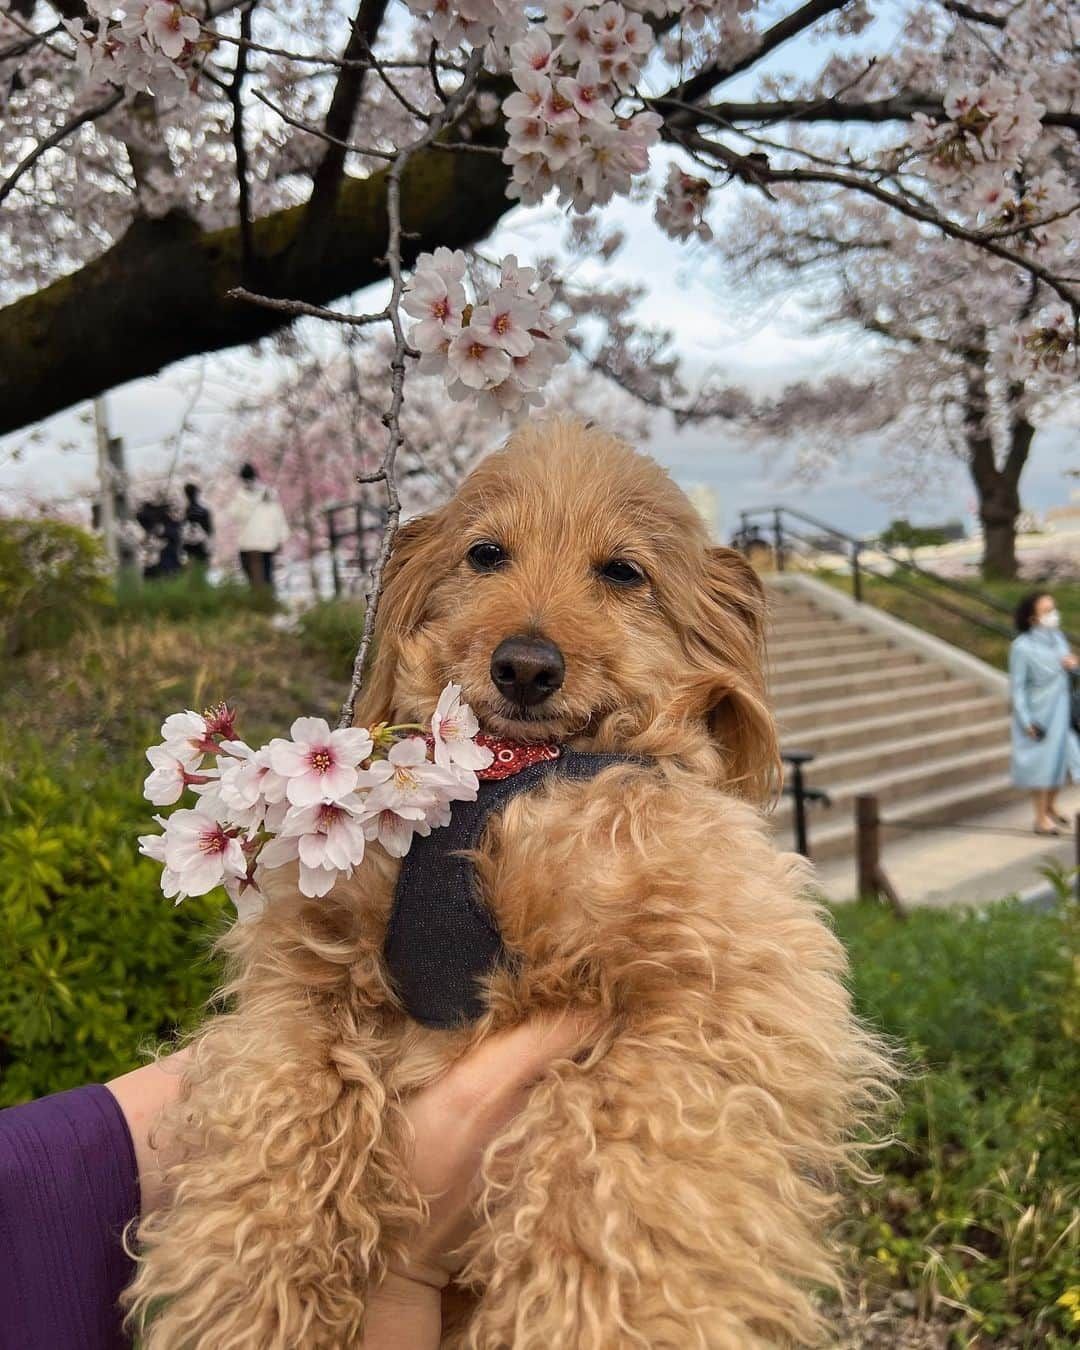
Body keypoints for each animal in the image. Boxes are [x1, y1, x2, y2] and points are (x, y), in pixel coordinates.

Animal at [124, 415, 885, 1344]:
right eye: (485, 553)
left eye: (623, 572)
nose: (525, 665)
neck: (501, 780)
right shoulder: (304, 968)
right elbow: (278, 1107)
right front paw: (251, 1298)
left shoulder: (719, 982)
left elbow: (623, 1180)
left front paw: (586, 1317)